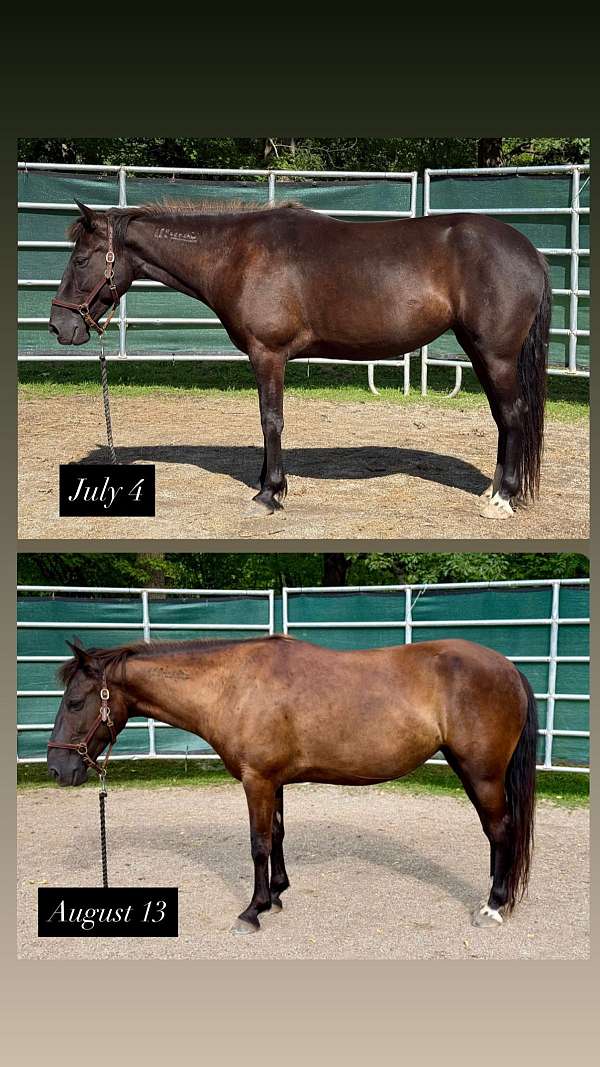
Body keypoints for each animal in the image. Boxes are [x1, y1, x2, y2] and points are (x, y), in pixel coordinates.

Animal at [47, 635, 538, 933]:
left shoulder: (257, 780)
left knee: (500, 831)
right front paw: (277, 894)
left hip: (481, 773)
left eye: (75, 703)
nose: (56, 769)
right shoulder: (273, 780)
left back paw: (494, 906)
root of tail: (509, 668)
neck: (232, 685)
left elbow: (258, 842)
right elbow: (278, 835)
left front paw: (253, 910)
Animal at [48, 199, 550, 521]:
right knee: (504, 417)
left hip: (495, 354)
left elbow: (271, 419)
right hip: (481, 352)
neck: (236, 254)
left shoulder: (267, 354)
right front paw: (266, 482)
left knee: (512, 414)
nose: (59, 326)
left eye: (81, 259)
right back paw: (494, 490)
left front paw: (269, 494)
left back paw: (502, 500)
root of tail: (531, 252)